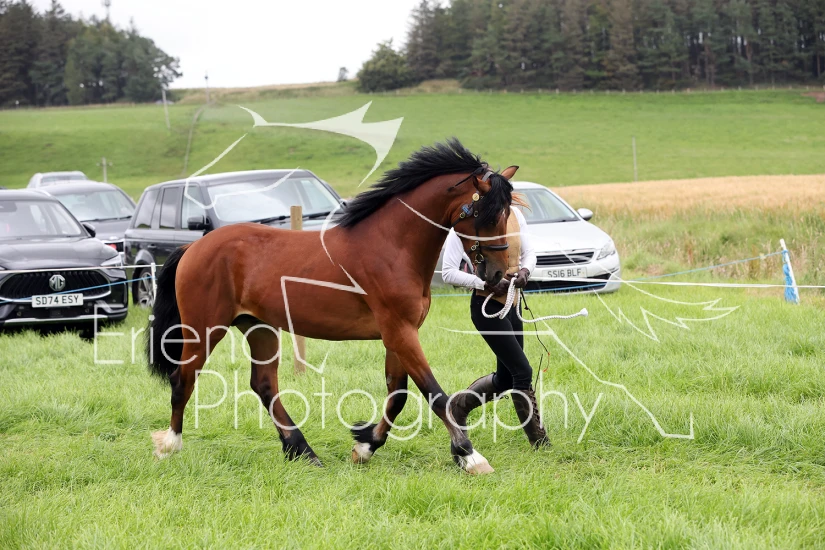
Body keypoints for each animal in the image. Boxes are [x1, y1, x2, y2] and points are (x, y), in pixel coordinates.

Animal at [147, 139, 518, 474]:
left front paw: (366, 446)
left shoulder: (398, 334)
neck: (392, 246)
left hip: (259, 327)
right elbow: (433, 392)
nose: (499, 275)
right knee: (183, 379)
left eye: (507, 213)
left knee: (264, 386)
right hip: (205, 328)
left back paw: (302, 451)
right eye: (486, 215)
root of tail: (194, 247)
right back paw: (169, 445)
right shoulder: (400, 332)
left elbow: (397, 394)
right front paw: (470, 455)